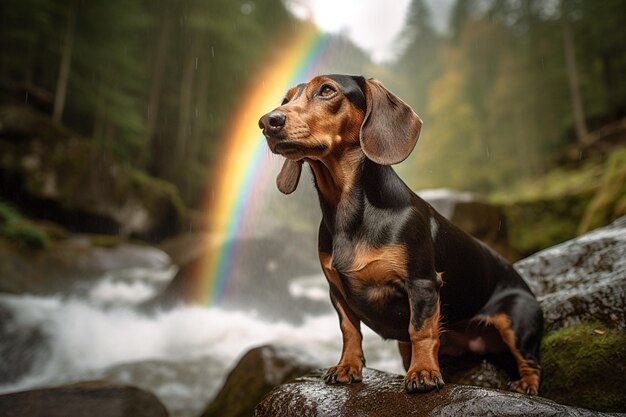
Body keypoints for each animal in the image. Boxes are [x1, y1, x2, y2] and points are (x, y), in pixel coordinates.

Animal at [256, 74, 540, 394]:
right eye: (286, 99)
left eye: (327, 90)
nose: (266, 122)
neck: (348, 211)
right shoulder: (336, 291)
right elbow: (349, 331)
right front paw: (347, 368)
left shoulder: (422, 283)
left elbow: (421, 330)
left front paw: (424, 373)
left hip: (515, 320)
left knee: (531, 362)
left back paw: (525, 384)